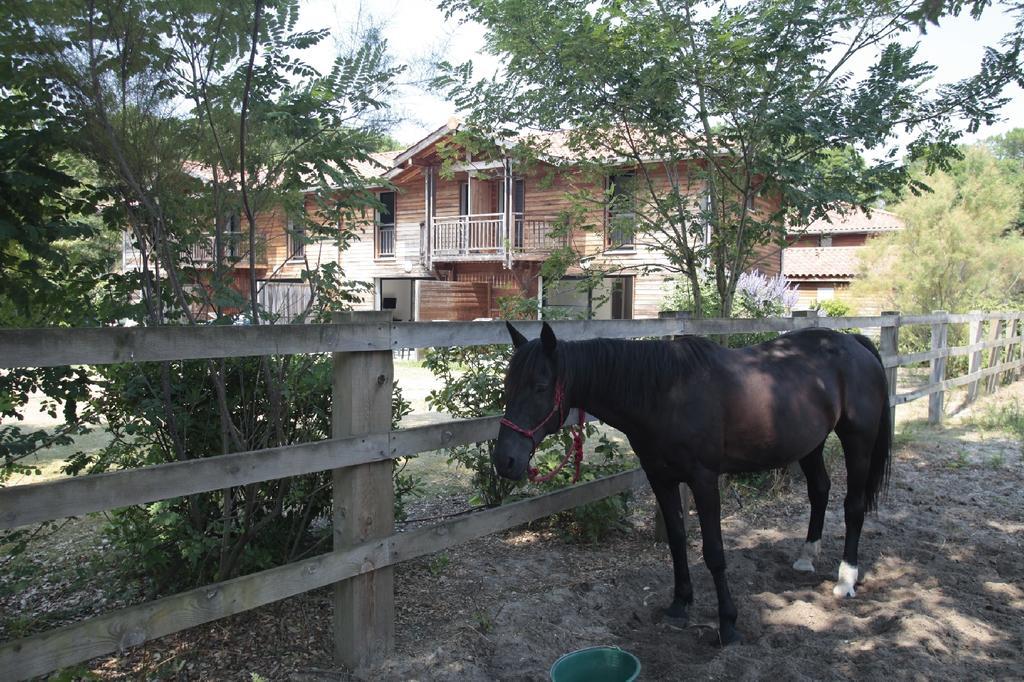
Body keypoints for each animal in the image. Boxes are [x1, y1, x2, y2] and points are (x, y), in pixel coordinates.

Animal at [493, 323, 888, 643]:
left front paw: (728, 624)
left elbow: (713, 551)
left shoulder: (704, 480)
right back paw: (806, 557)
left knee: (853, 506)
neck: (666, 393)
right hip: (811, 444)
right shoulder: (661, 479)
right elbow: (677, 540)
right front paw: (679, 604)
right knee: (819, 491)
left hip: (858, 440)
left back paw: (846, 579)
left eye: (541, 386)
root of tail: (852, 342)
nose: (505, 461)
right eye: (508, 386)